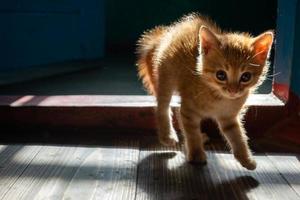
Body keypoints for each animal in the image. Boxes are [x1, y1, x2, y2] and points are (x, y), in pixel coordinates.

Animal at [137, 13, 274, 170]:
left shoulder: (229, 118)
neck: (219, 97)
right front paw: (196, 154)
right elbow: (192, 133)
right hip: (166, 77)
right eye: (221, 75)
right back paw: (168, 135)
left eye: (246, 77)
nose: (233, 91)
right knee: (162, 107)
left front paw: (246, 159)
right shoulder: (189, 110)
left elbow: (237, 136)